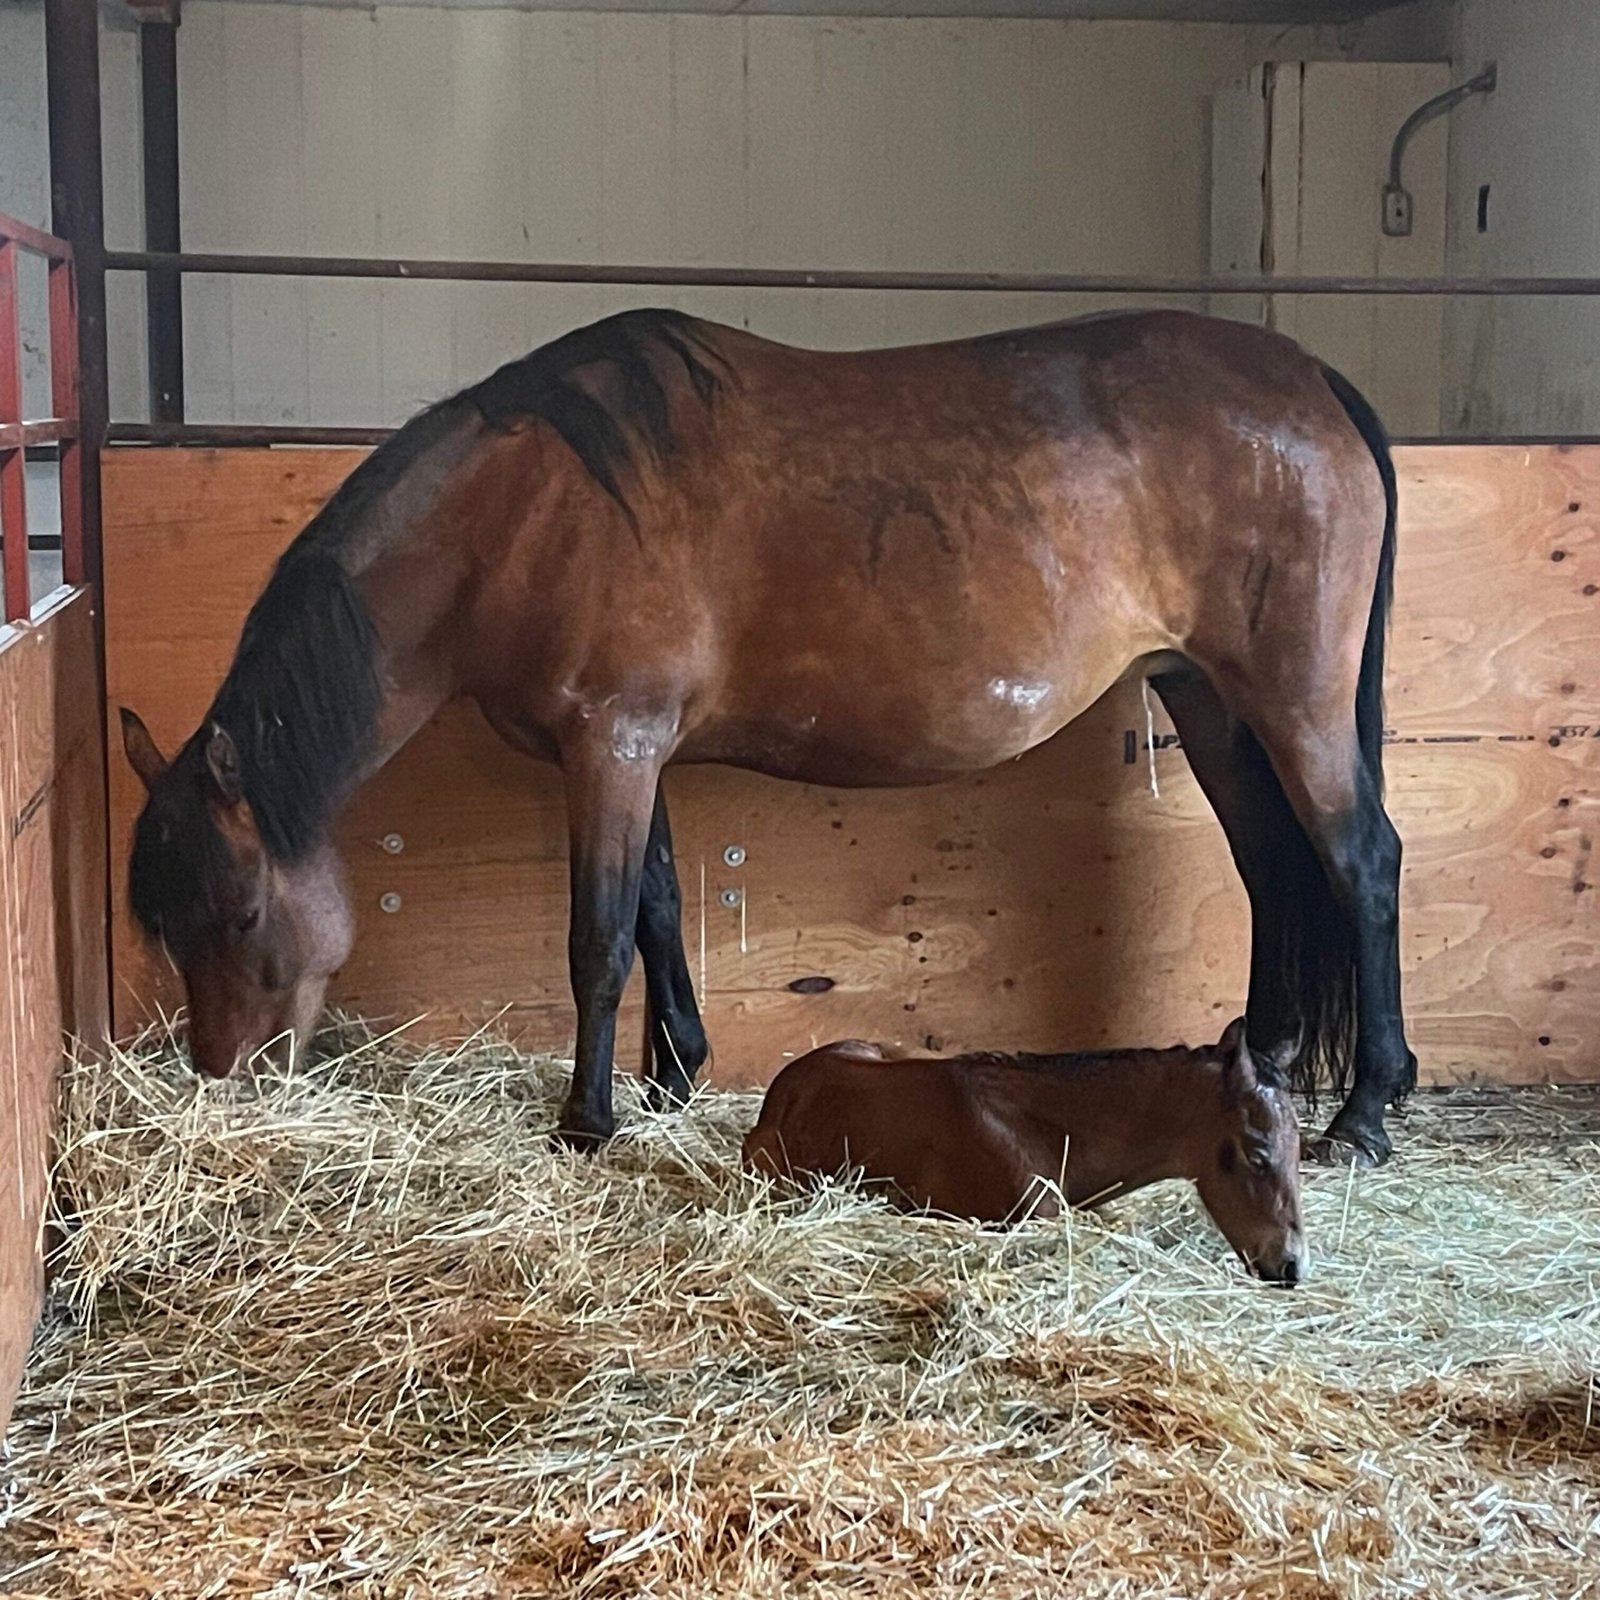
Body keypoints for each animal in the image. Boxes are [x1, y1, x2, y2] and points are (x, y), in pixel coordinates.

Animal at [118, 305, 1415, 1165]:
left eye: (241, 913)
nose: (221, 1079)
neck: (524, 511)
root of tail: (1308, 379)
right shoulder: (632, 750)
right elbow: (655, 904)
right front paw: (672, 1075)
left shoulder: (612, 744)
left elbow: (598, 938)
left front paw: (590, 1119)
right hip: (1206, 700)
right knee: (1270, 866)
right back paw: (1269, 1066)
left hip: (1289, 702)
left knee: (1361, 862)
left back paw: (1366, 1112)